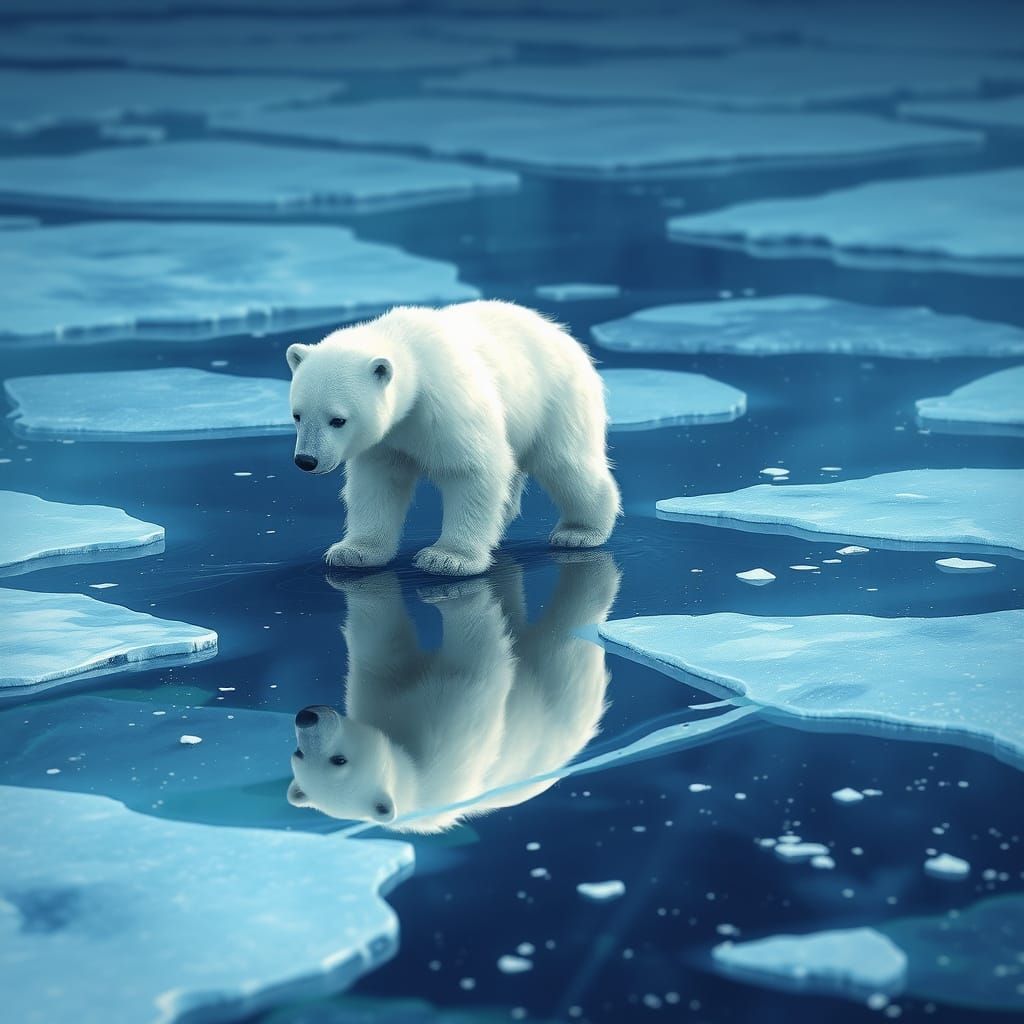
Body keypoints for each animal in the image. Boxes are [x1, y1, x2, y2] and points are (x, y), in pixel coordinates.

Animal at [286, 552, 620, 833]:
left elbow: (467, 665)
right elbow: (392, 657)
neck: (415, 782)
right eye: (299, 753)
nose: (306, 717)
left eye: (339, 760)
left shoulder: (442, 733)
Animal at [287, 300, 620, 577]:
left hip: (557, 398)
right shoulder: (388, 439)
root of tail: (562, 333)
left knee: (565, 464)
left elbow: (471, 471)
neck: (409, 348)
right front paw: (353, 552)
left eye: (338, 420)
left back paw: (580, 531)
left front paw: (448, 558)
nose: (306, 460)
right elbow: (377, 483)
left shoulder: (447, 405)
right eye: (297, 415)